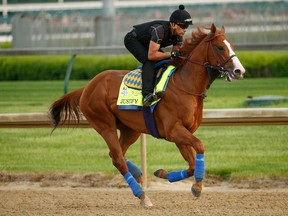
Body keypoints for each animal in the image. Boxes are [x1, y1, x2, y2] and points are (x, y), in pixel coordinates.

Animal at [49, 24, 245, 208]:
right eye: (220, 47)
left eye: (232, 45)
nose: (239, 71)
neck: (185, 85)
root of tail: (87, 87)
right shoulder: (174, 130)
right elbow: (200, 146)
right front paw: (197, 186)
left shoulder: (181, 134)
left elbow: (191, 165)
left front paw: (164, 174)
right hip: (105, 125)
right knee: (118, 158)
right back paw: (142, 196)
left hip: (130, 129)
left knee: (116, 154)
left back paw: (137, 173)